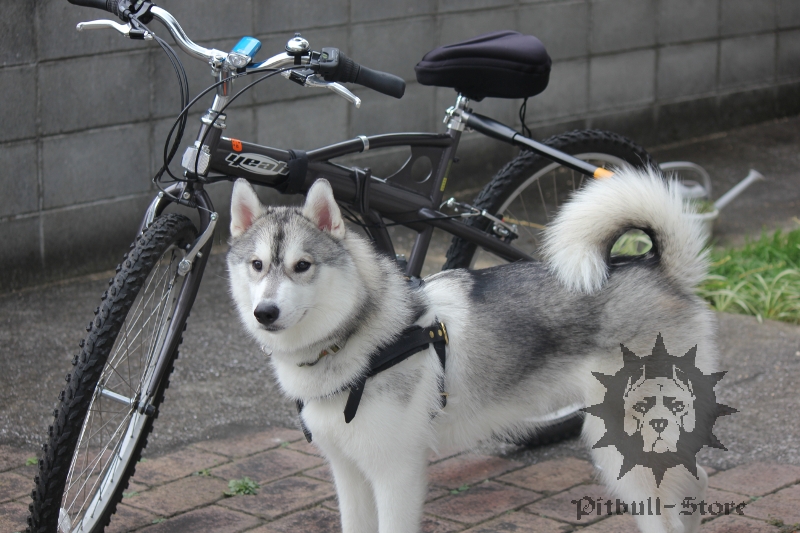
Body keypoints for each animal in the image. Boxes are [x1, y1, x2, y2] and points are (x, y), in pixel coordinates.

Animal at [227, 167, 720, 532]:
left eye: (302, 266)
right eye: (257, 265)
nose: (265, 312)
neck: (361, 340)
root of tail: (659, 271)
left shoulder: (395, 473)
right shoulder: (348, 474)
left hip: (627, 452)